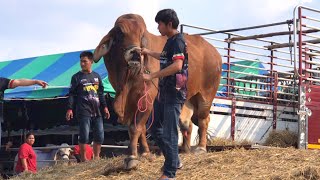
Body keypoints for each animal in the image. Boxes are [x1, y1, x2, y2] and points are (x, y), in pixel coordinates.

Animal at [94, 13, 221, 169]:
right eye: (120, 33)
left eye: (141, 34)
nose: (136, 53)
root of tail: (214, 52)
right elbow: (140, 128)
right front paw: (145, 153)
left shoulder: (145, 99)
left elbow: (135, 127)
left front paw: (132, 157)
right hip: (187, 100)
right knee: (187, 124)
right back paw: (184, 150)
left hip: (206, 95)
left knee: (204, 120)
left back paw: (201, 148)